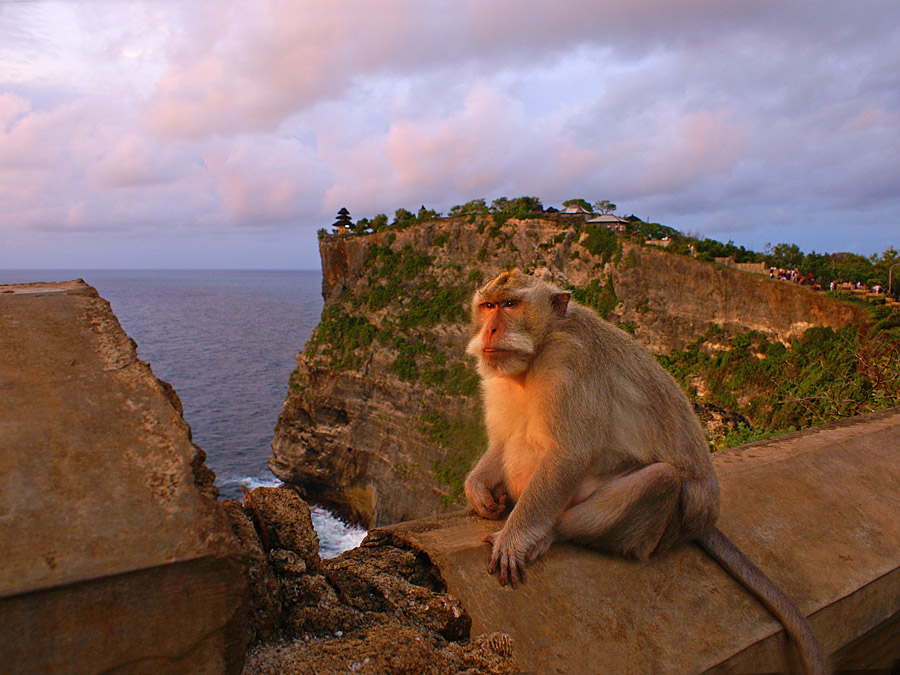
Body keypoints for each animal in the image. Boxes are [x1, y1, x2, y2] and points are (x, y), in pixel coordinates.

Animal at [468, 270, 828, 675]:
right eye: (488, 306)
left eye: (511, 304)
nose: (490, 330)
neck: (537, 352)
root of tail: (704, 519)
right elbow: (502, 441)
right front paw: (478, 490)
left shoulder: (569, 362)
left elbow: (568, 455)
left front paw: (515, 539)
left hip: (668, 528)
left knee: (661, 480)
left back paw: (552, 533)